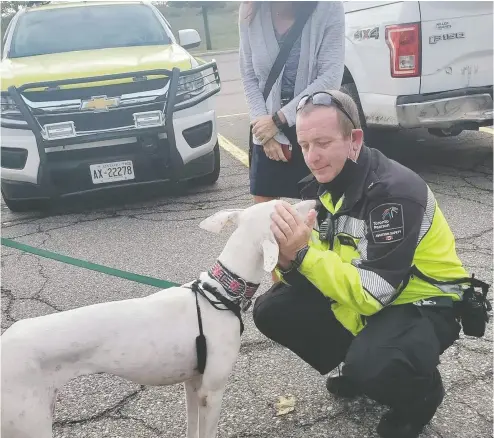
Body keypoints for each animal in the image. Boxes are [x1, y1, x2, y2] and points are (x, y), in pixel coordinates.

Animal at [0, 199, 316, 438]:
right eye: (287, 209)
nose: (314, 202)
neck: (221, 291)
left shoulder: (193, 384)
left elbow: (192, 429)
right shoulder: (212, 392)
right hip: (28, 423)